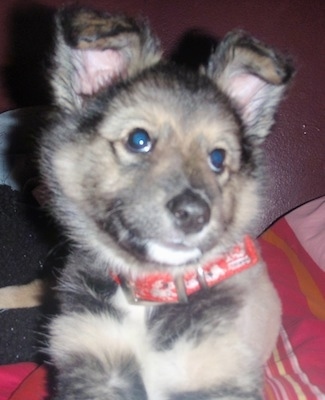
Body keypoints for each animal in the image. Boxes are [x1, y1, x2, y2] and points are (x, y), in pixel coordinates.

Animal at [38, 6, 294, 400]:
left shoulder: (217, 369)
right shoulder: (95, 359)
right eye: (138, 139)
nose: (194, 214)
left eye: (218, 158)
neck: (149, 297)